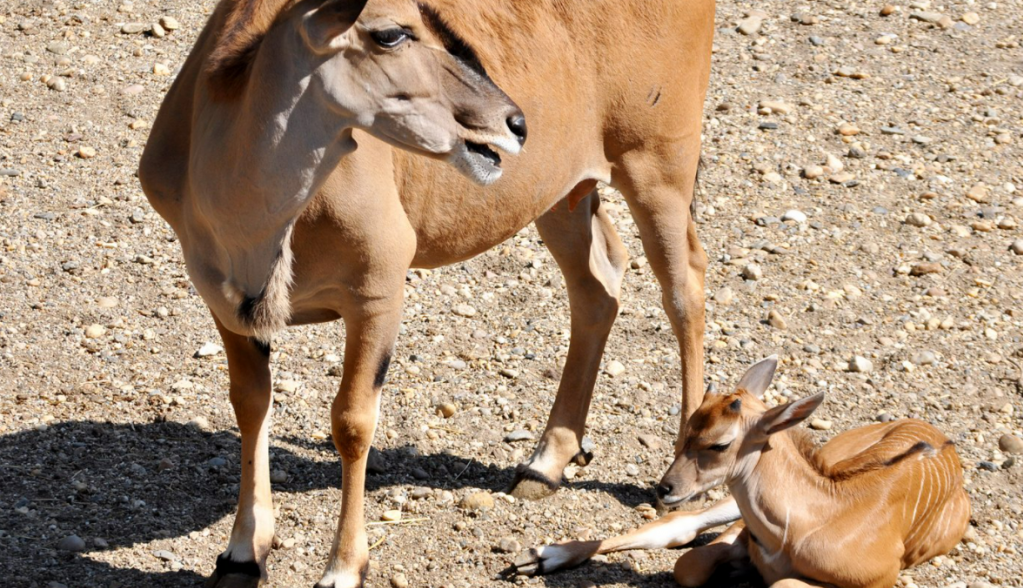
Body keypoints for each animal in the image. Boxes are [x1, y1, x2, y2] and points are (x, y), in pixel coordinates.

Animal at [142, 0, 720, 584]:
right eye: (390, 34)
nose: (515, 123)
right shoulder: (228, 305)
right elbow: (250, 404)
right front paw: (241, 553)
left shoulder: (378, 292)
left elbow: (352, 423)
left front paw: (344, 567)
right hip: (561, 195)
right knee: (597, 286)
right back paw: (547, 461)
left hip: (656, 169)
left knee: (685, 289)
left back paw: (683, 475)